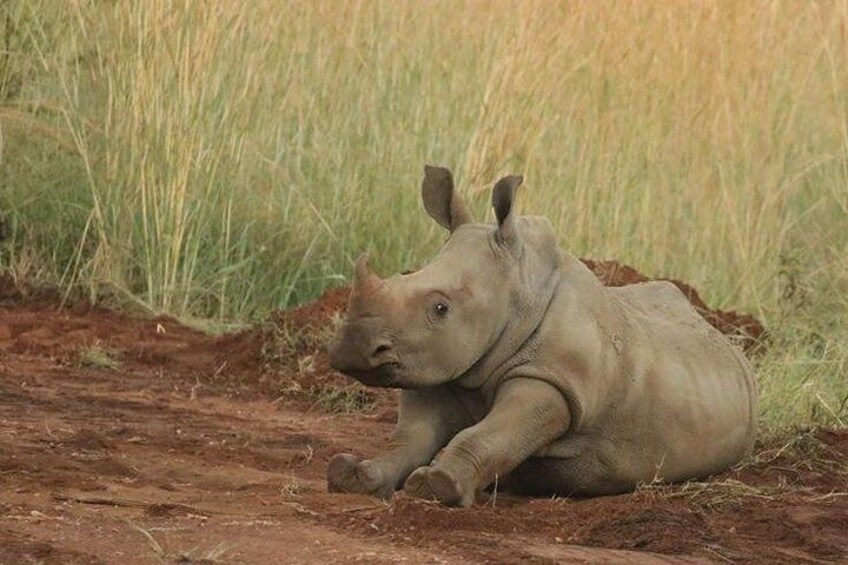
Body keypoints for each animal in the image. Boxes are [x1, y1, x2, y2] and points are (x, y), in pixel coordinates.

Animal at [327, 165, 758, 507]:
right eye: (403, 276)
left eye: (440, 308)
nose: (352, 350)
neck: (518, 291)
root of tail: (722, 338)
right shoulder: (438, 366)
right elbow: (407, 439)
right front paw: (352, 477)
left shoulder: (552, 380)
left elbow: (488, 436)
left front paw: (436, 486)